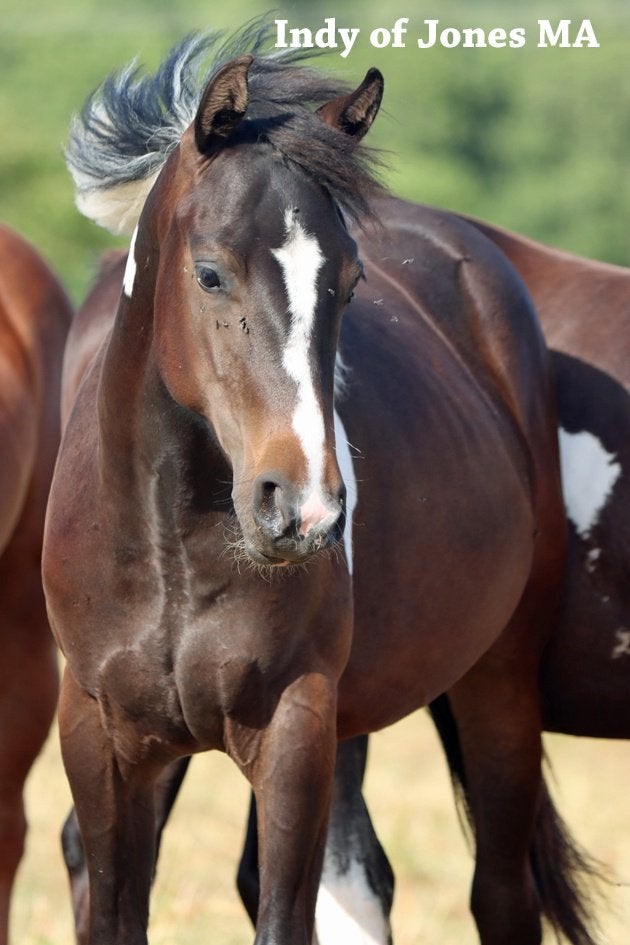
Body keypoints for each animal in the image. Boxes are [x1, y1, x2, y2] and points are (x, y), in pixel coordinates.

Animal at [45, 28, 569, 945]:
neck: (168, 546)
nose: (304, 509)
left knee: (501, 891)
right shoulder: (102, 738)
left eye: (351, 282)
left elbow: (285, 913)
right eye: (210, 273)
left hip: (497, 683)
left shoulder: (293, 727)